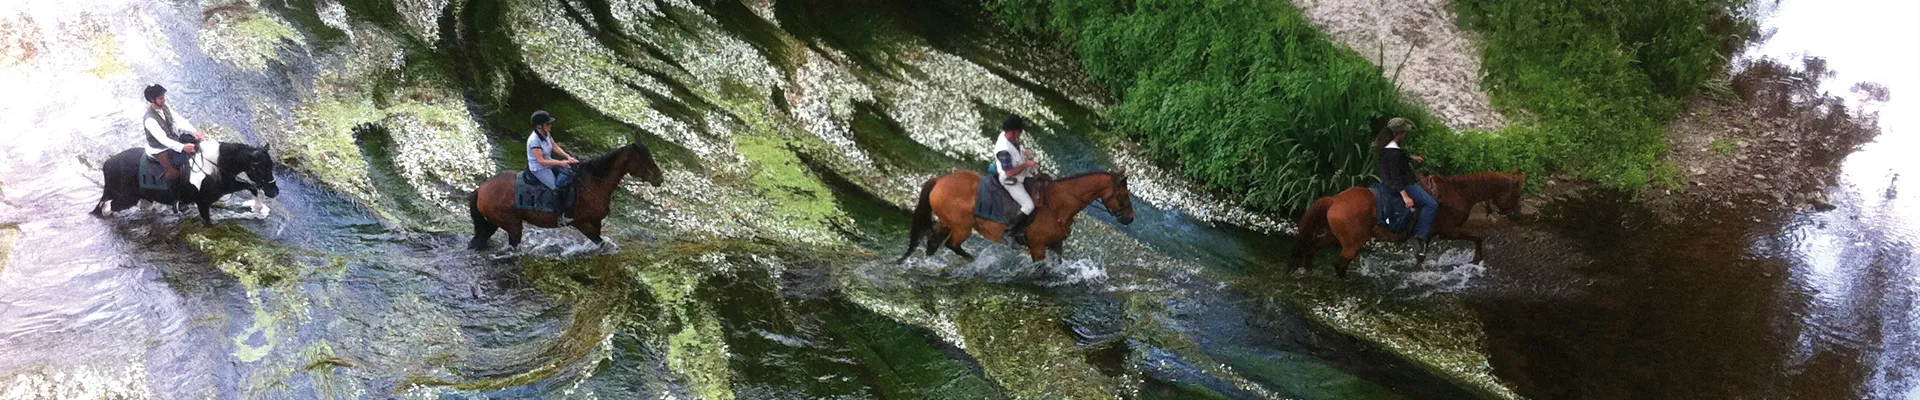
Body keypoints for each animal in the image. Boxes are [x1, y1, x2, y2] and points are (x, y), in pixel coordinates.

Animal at [92, 142, 280, 226]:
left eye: (270, 166)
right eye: (260, 167)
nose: (275, 191)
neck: (215, 165)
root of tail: (108, 164)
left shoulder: (227, 185)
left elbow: (252, 187)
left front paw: (258, 208)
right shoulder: (203, 202)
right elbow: (208, 222)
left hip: (144, 199)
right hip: (125, 199)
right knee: (107, 207)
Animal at [468, 142, 663, 250]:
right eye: (645, 158)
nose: (660, 179)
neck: (595, 182)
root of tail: (482, 188)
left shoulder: (596, 221)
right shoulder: (581, 223)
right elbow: (600, 243)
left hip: (494, 221)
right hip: (512, 224)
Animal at [898, 170, 1136, 262]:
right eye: (1124, 194)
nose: (1131, 218)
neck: (1059, 203)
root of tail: (939, 180)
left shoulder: (1055, 244)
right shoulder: (1038, 246)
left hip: (946, 223)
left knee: (933, 242)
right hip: (961, 227)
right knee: (951, 245)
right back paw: (974, 262)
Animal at [1291, 171, 1526, 277]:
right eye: (1517, 194)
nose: (1518, 214)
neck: (1459, 193)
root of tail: (1335, 200)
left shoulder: (1427, 236)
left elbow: (1420, 258)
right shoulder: (1450, 231)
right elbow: (1477, 237)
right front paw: (1476, 260)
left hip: (1336, 236)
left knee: (1313, 247)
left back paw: (1307, 269)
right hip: (1353, 243)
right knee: (1339, 264)